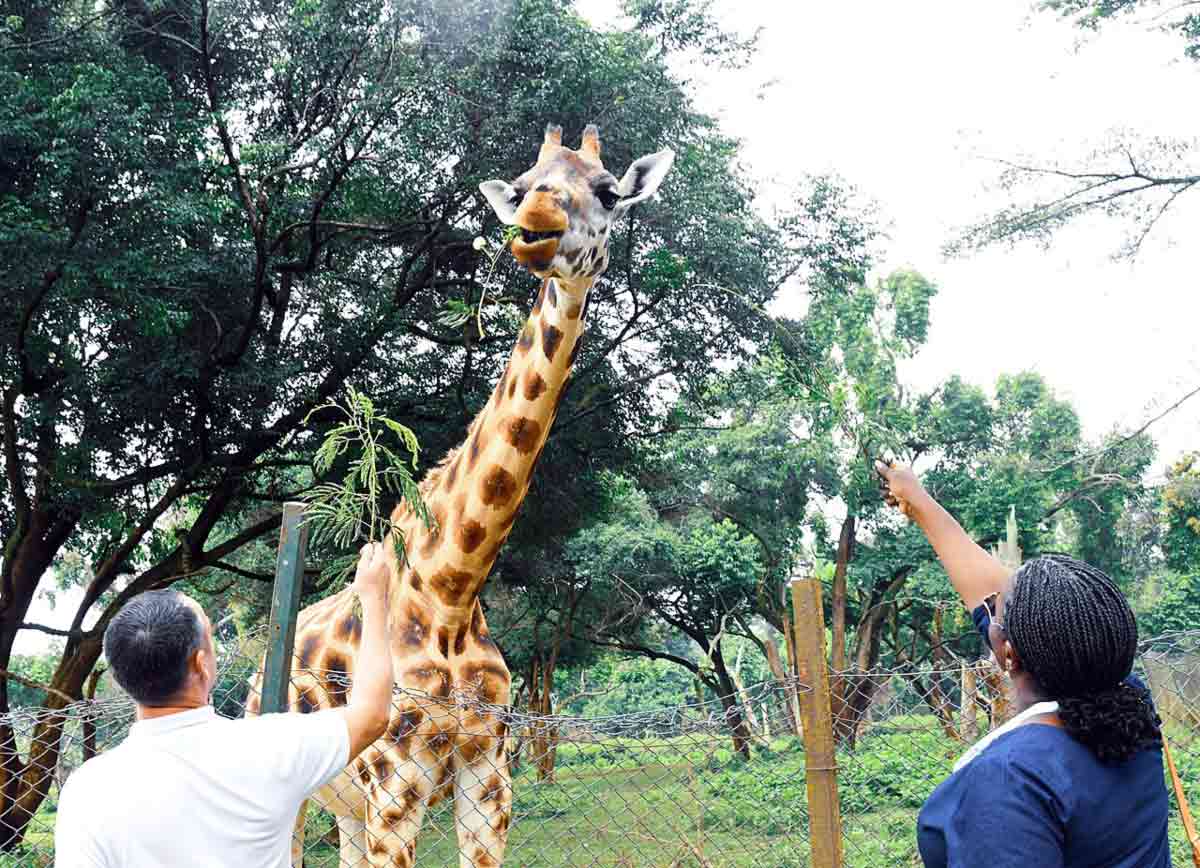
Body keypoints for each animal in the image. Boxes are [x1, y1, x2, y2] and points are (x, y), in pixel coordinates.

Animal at [246, 123, 674, 868]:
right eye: (524, 184)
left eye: (607, 190)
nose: (536, 224)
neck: (452, 589)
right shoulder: (397, 785)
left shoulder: (489, 782)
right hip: (289, 785)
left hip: (347, 806)